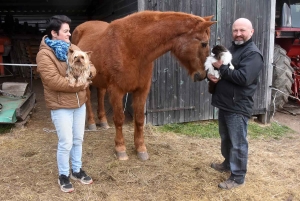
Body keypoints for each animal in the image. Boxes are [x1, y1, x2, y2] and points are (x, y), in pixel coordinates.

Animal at [73, 11, 218, 161]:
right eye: (204, 43)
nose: (204, 74)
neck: (131, 46)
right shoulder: (116, 91)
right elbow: (119, 119)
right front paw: (120, 149)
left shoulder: (142, 90)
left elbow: (139, 119)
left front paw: (141, 149)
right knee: (88, 98)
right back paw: (91, 123)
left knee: (100, 93)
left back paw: (102, 121)